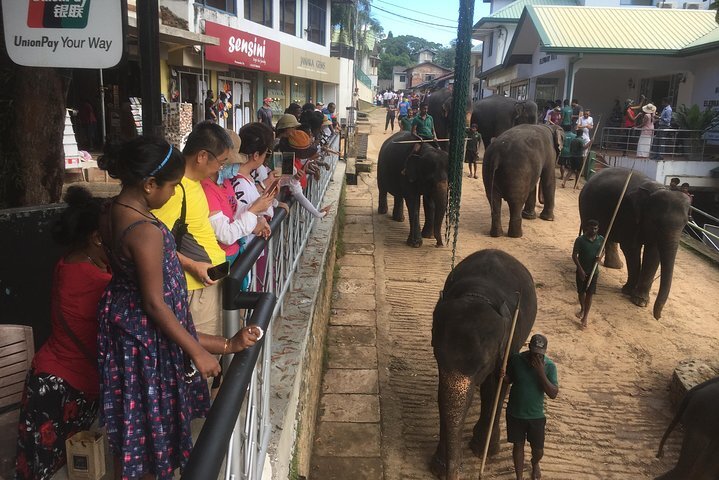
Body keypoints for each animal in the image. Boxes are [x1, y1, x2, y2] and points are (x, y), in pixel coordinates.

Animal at [430, 249, 536, 478]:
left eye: (483, 366)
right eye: (437, 355)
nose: (453, 473)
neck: (477, 295)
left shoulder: (509, 343)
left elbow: (496, 386)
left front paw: (483, 451)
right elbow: (442, 394)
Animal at [576, 167, 688, 320]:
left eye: (686, 224)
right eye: (656, 222)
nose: (658, 317)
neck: (656, 189)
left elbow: (653, 253)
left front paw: (640, 302)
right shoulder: (627, 214)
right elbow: (631, 248)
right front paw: (629, 292)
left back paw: (615, 266)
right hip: (586, 208)